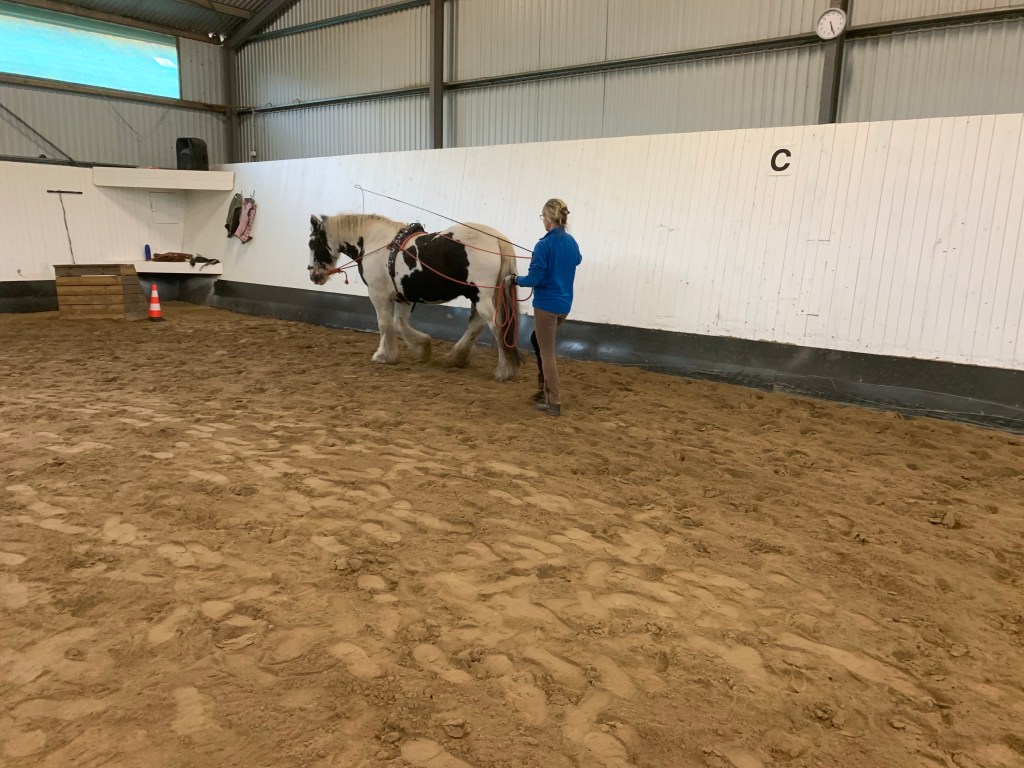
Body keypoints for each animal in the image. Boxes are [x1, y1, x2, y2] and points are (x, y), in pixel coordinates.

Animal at [307, 213, 521, 381]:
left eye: (312, 243)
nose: (314, 275)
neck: (375, 243)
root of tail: (497, 239)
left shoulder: (378, 294)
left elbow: (385, 324)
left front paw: (384, 355)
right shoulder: (403, 297)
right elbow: (399, 323)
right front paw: (423, 347)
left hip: (480, 295)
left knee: (496, 326)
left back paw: (504, 370)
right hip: (479, 296)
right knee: (477, 324)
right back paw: (455, 358)